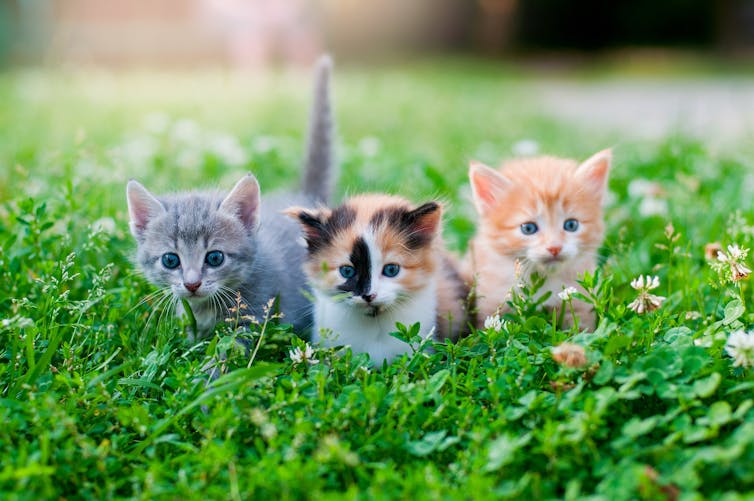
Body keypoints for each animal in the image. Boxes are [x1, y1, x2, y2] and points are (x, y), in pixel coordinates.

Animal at [464, 148, 612, 328]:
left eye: (571, 225)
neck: (541, 277)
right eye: (528, 228)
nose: (555, 247)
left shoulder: (579, 304)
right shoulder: (493, 302)